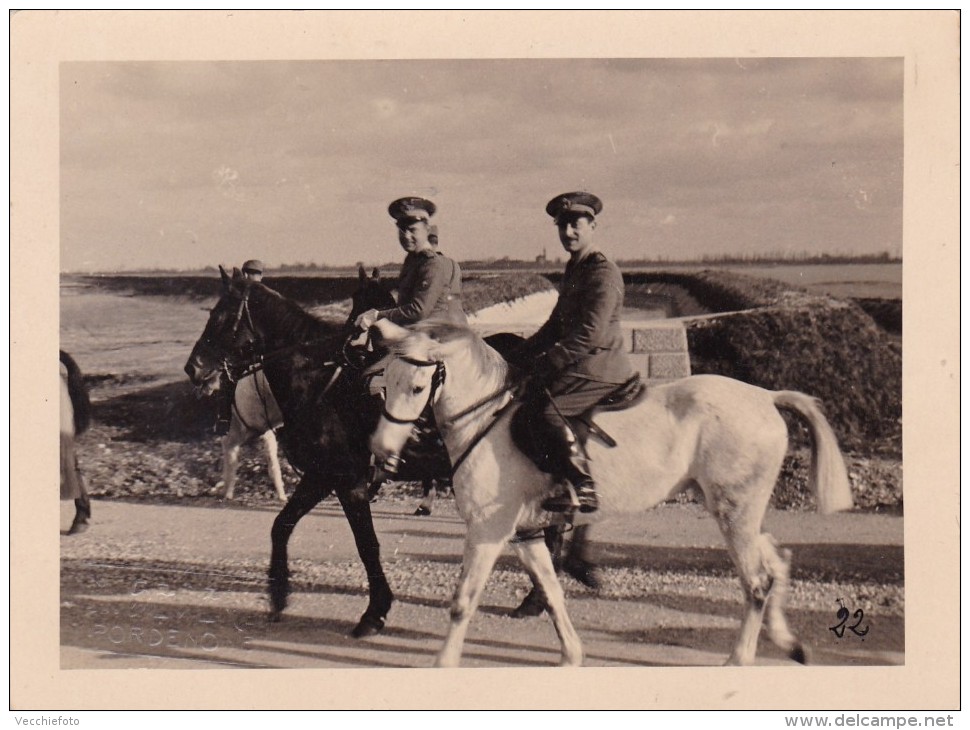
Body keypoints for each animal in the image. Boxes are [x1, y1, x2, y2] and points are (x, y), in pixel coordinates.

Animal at [366, 318, 852, 664]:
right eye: (385, 383)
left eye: (417, 386)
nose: (381, 452)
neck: (488, 419)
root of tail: (766, 397)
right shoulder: (524, 533)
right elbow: (551, 591)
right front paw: (571, 655)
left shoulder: (488, 530)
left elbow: (462, 601)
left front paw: (443, 664)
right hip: (738, 510)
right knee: (776, 560)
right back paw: (789, 643)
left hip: (734, 512)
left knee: (756, 582)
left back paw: (738, 660)